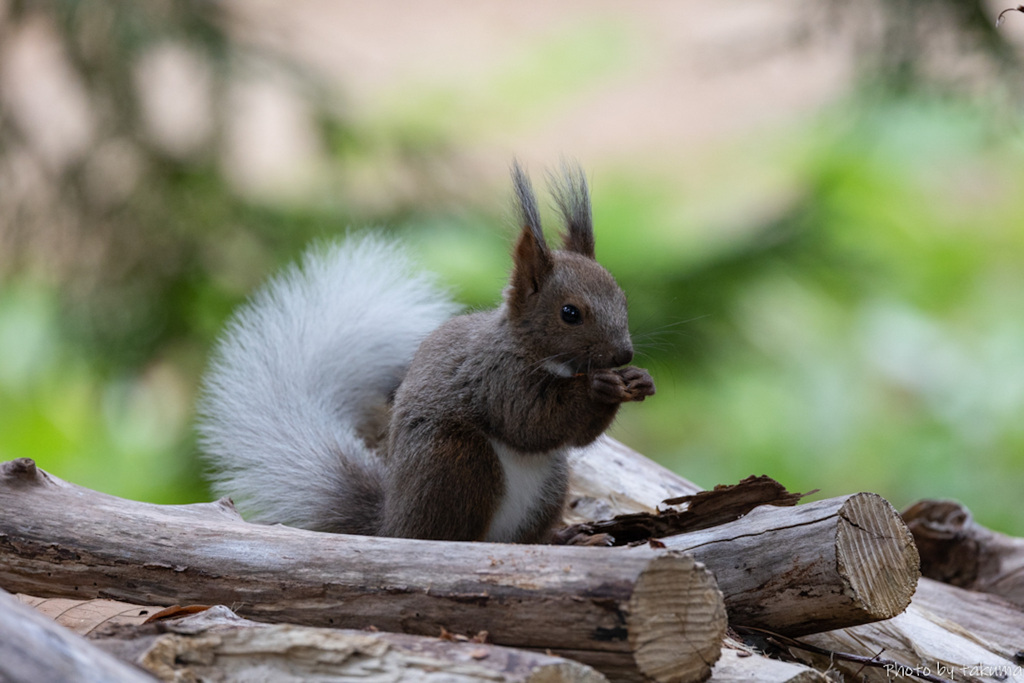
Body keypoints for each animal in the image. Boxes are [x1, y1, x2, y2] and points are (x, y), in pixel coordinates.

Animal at [195, 160, 651, 544]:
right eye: (570, 313)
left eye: (623, 299)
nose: (623, 356)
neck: (551, 361)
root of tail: (392, 525)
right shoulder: (494, 375)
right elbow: (531, 420)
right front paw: (599, 388)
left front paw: (638, 381)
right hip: (457, 461)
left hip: (549, 483)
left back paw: (567, 539)